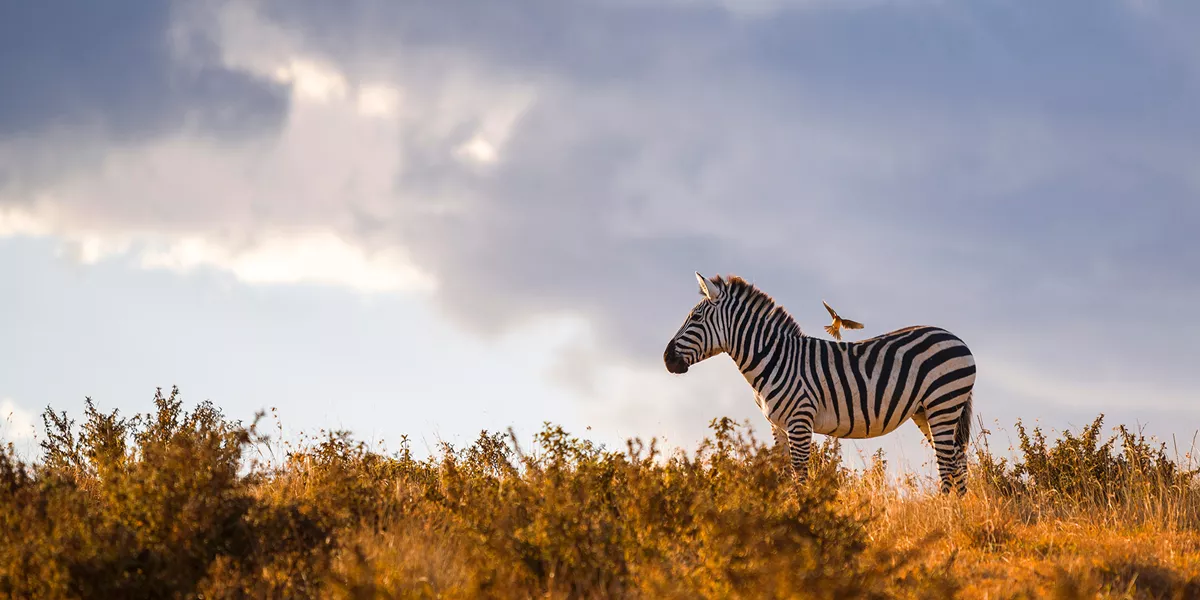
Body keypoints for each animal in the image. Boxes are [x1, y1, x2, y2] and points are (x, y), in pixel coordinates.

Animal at [663, 272, 977, 495]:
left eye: (696, 317)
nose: (666, 359)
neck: (775, 357)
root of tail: (957, 339)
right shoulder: (777, 426)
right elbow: (783, 472)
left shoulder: (800, 420)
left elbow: (800, 475)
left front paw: (803, 517)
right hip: (925, 411)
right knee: (957, 463)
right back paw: (959, 514)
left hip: (943, 403)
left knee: (947, 464)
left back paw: (946, 514)